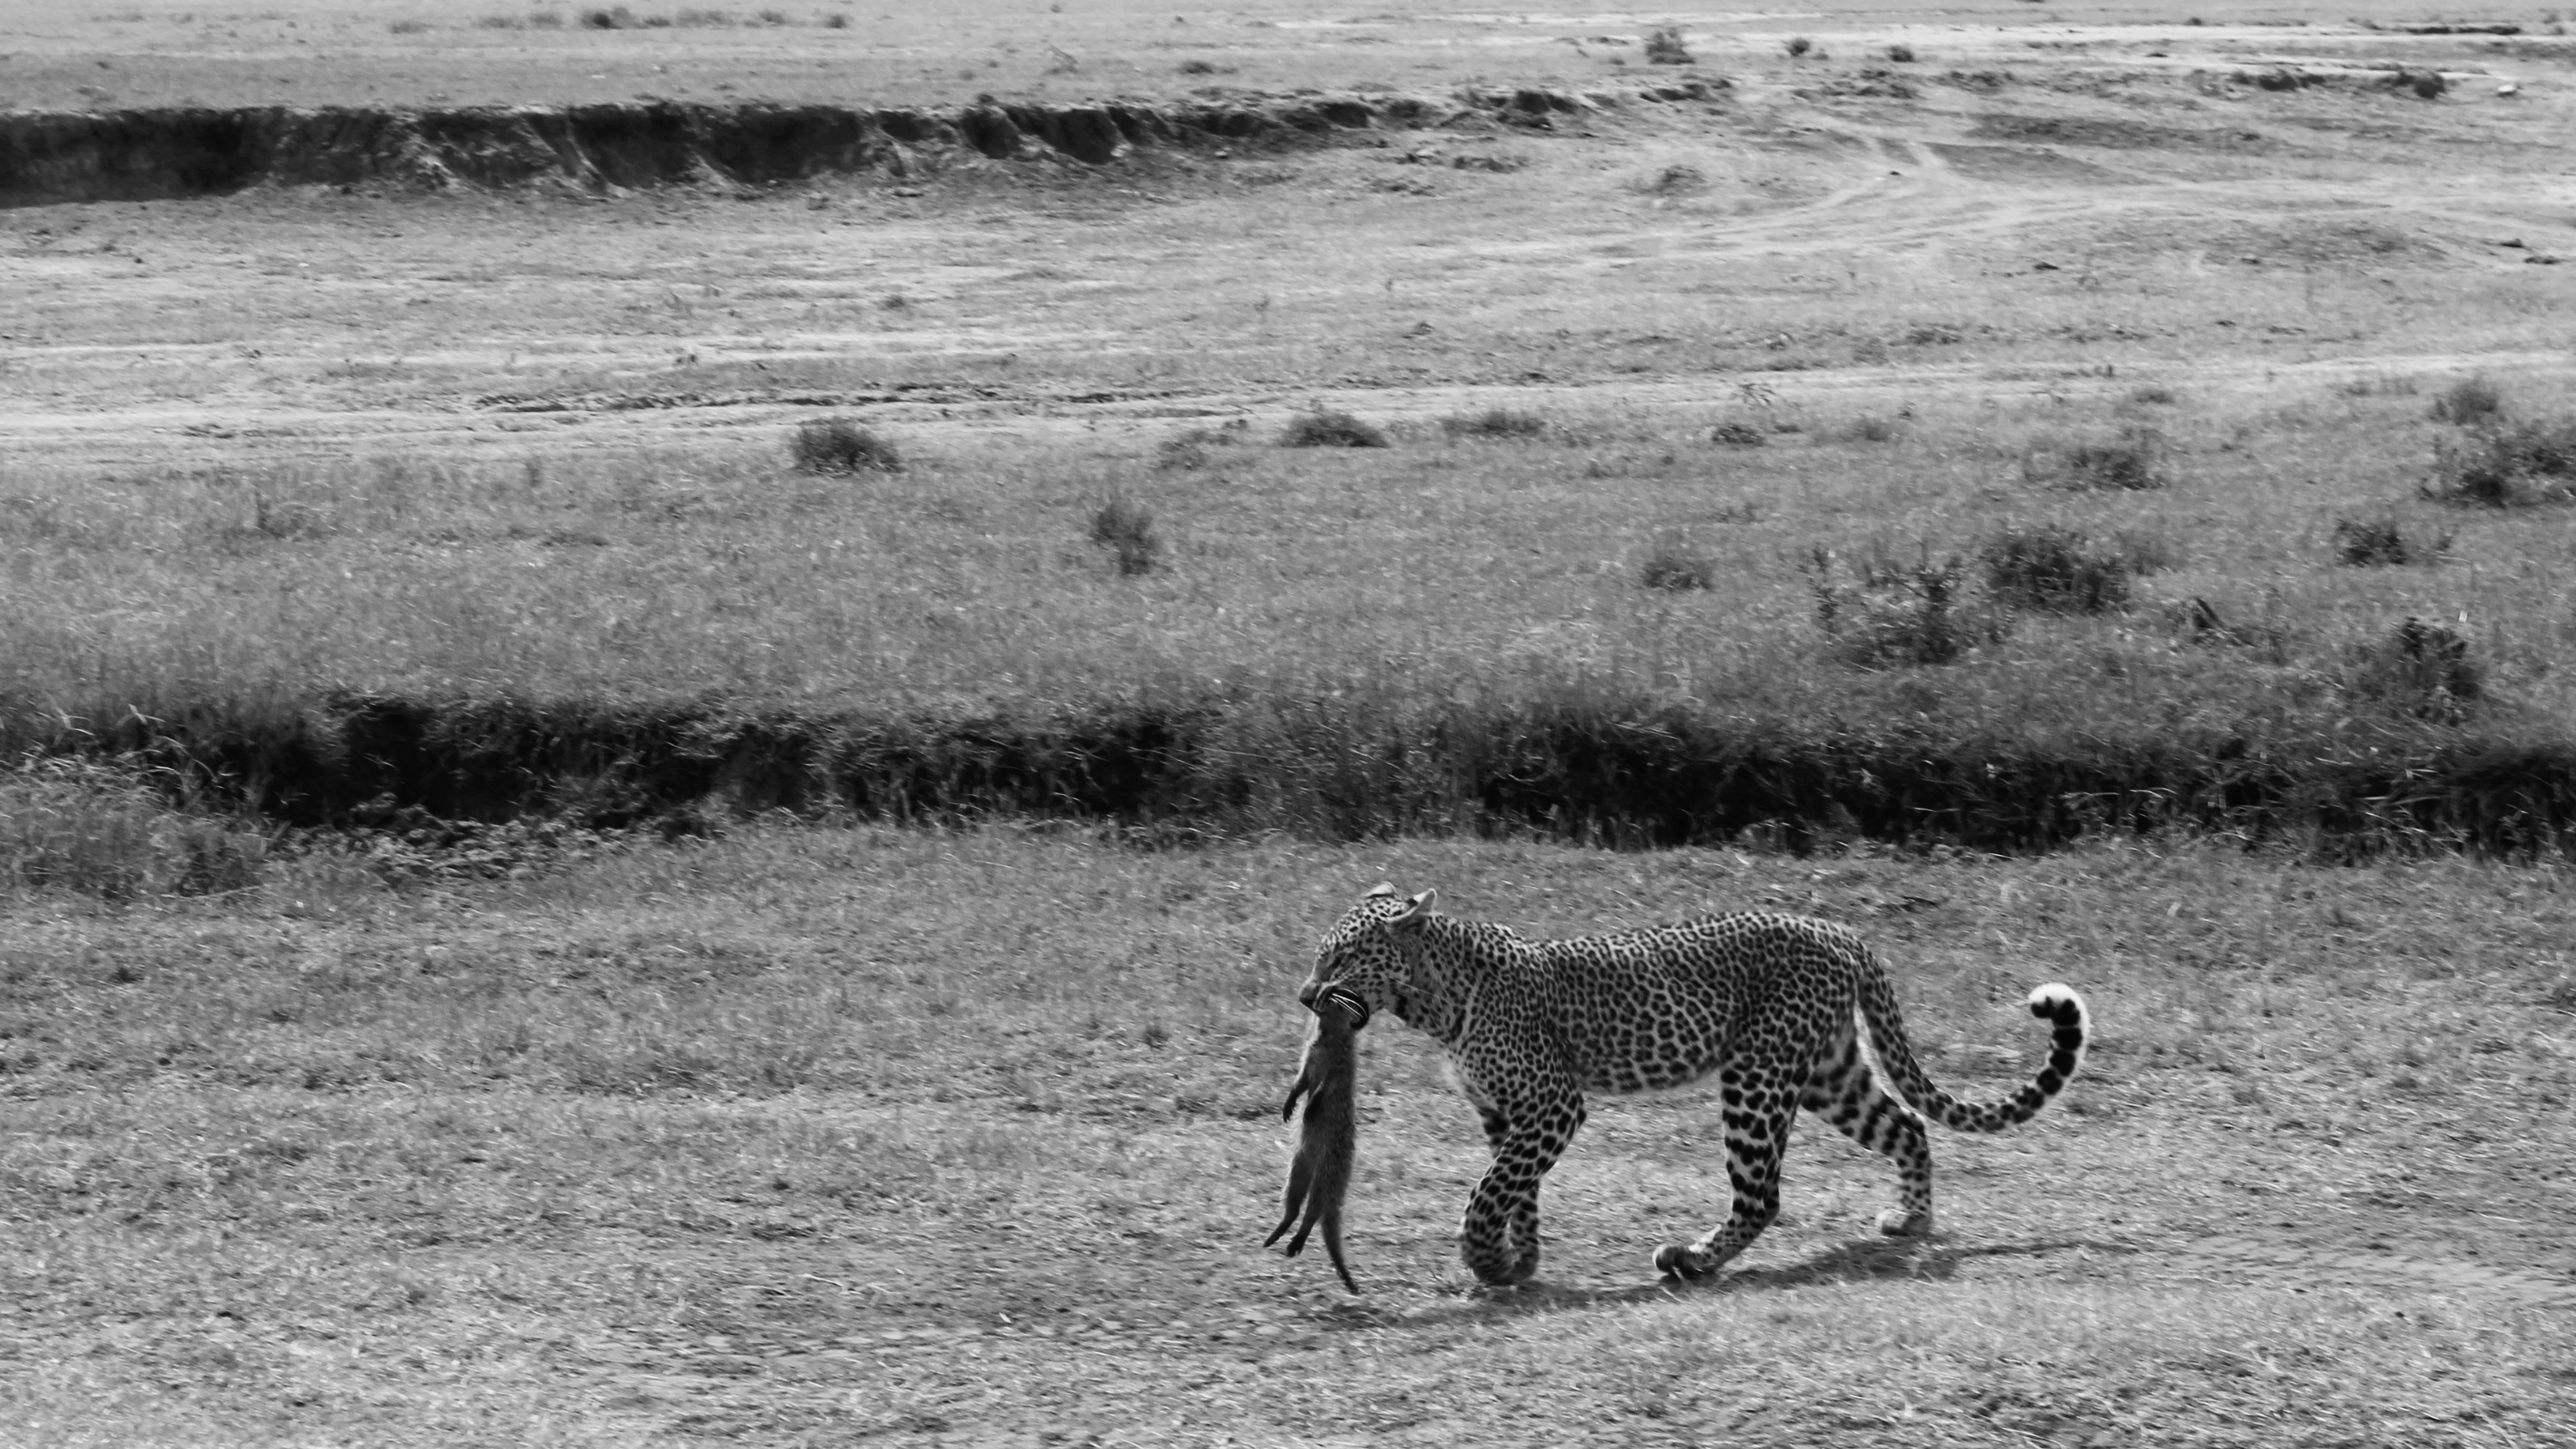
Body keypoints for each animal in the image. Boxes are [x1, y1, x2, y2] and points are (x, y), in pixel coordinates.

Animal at [1296, 883, 2090, 1287]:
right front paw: (1518, 1261)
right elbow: (1516, 1190)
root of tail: (1838, 930)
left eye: (1341, 956)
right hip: (1828, 1071)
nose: (1306, 994)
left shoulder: (1553, 1104)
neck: (1433, 998)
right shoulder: (1504, 1112)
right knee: (1907, 1125)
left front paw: (1486, 1258)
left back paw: (1693, 1259)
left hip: (1758, 1076)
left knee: (1763, 1194)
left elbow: (1492, 1189)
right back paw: (1912, 1221)